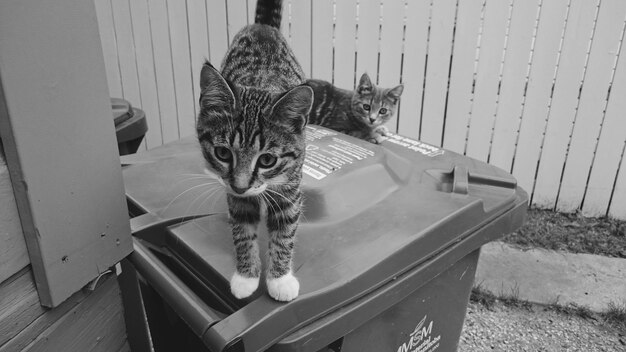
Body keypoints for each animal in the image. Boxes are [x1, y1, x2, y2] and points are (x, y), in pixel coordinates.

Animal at [195, 0, 312, 302]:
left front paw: (280, 278)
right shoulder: (235, 196)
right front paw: (246, 276)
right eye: (223, 153)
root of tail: (263, 26)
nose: (240, 185)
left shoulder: (290, 184)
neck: (261, 85)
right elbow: (242, 226)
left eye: (267, 159)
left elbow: (285, 228)